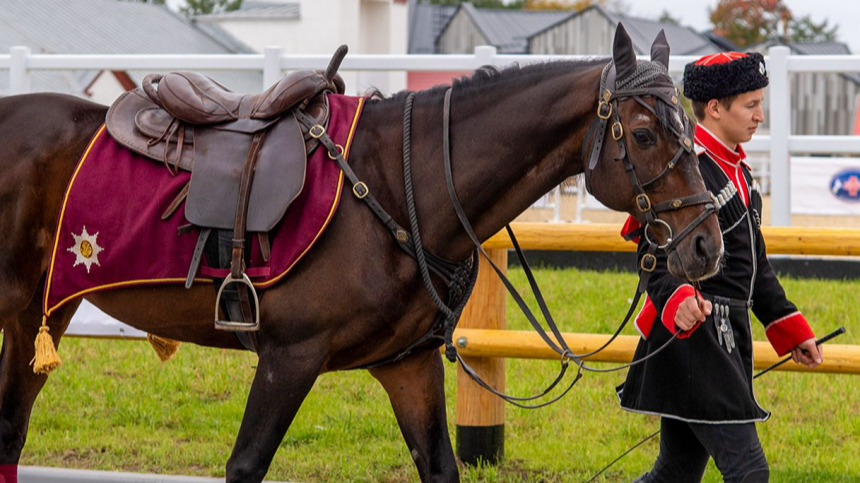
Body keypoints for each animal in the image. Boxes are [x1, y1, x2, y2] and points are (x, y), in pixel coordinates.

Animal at [0, 27, 724, 483]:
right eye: (643, 134)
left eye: (691, 129)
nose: (705, 243)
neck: (398, 183)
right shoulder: (288, 359)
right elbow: (245, 465)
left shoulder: (408, 367)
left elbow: (440, 465)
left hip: (44, 310)